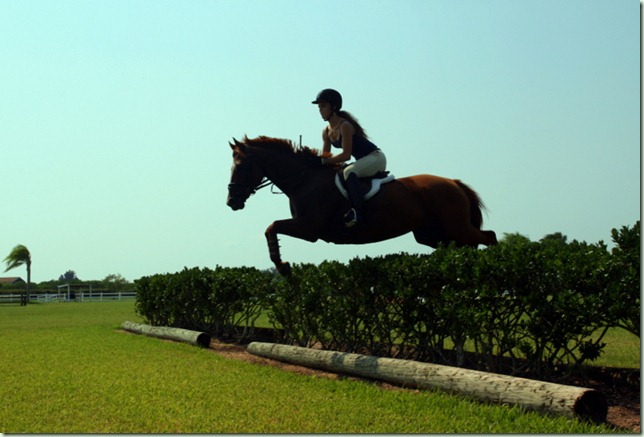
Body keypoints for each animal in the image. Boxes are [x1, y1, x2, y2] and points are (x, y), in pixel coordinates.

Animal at [227, 136, 498, 275]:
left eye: (240, 166)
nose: (231, 202)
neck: (303, 178)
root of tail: (454, 182)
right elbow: (271, 228)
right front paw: (283, 267)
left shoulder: (309, 227)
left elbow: (272, 227)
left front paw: (283, 267)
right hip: (432, 235)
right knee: (465, 248)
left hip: (456, 227)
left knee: (489, 237)